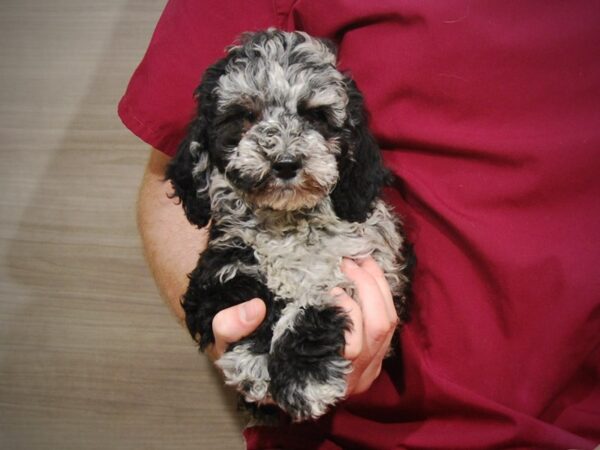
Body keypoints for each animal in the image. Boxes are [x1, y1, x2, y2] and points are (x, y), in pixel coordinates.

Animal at [166, 28, 414, 422]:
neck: (288, 222)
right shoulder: (222, 265)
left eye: (316, 116)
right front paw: (254, 361)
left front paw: (303, 377)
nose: (285, 163)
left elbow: (316, 305)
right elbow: (246, 295)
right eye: (245, 116)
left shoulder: (361, 267)